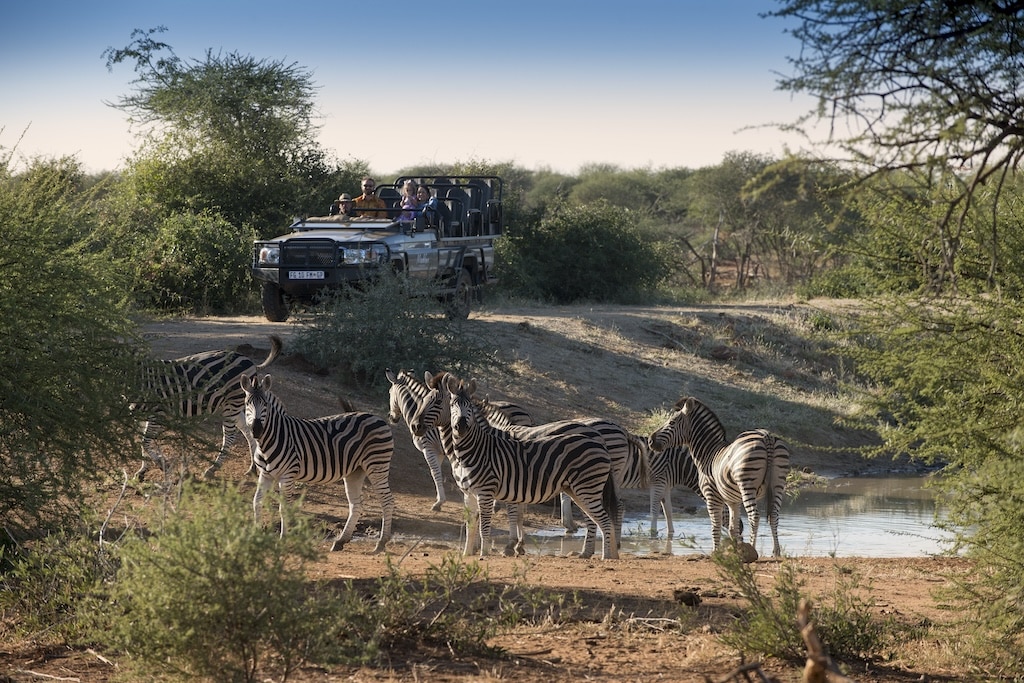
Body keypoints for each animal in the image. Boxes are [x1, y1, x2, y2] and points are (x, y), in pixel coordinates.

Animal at [132, 335, 282, 481]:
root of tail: (249, 360)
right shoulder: (140, 415)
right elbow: (143, 441)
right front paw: (142, 471)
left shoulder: (158, 412)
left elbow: (145, 442)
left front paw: (163, 465)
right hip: (238, 404)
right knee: (247, 431)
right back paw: (252, 468)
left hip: (232, 404)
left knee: (230, 436)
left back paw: (212, 469)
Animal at [240, 373, 395, 553]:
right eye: (247, 404)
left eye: (265, 404)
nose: (256, 430)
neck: (271, 439)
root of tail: (378, 418)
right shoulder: (266, 474)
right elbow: (256, 502)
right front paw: (255, 534)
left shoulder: (288, 475)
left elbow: (283, 507)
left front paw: (283, 539)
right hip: (355, 471)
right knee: (356, 504)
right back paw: (341, 541)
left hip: (377, 465)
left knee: (387, 501)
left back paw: (381, 543)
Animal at [412, 374, 619, 560]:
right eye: (424, 400)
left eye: (438, 402)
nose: (415, 426)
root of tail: (598, 440)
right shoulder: (475, 491)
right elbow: (475, 522)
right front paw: (470, 552)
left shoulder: (497, 488)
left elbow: (493, 521)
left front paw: (496, 550)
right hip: (578, 490)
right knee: (597, 520)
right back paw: (598, 553)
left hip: (586, 488)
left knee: (601, 519)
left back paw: (603, 556)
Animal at [648, 396, 790, 557]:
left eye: (671, 422)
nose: (650, 440)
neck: (708, 453)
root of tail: (767, 435)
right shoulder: (733, 500)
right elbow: (733, 527)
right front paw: (735, 550)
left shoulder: (711, 495)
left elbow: (715, 525)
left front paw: (716, 552)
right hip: (778, 484)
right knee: (774, 516)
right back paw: (776, 551)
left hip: (747, 484)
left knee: (754, 516)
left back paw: (753, 549)